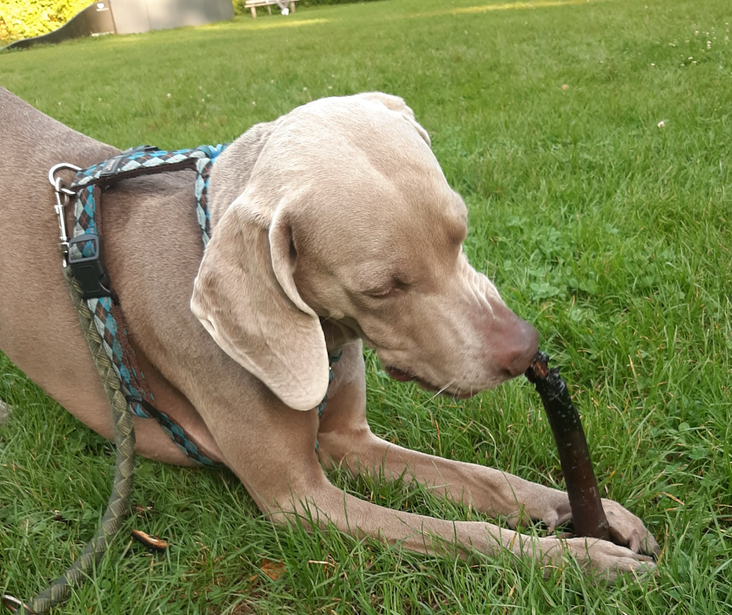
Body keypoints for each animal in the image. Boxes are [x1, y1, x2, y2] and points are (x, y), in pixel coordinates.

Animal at [0, 88, 660, 584]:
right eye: (381, 288)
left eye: (461, 232)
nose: (524, 350)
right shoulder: (299, 500)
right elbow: (458, 532)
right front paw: (583, 558)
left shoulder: (349, 440)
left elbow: (484, 478)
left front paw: (580, 510)